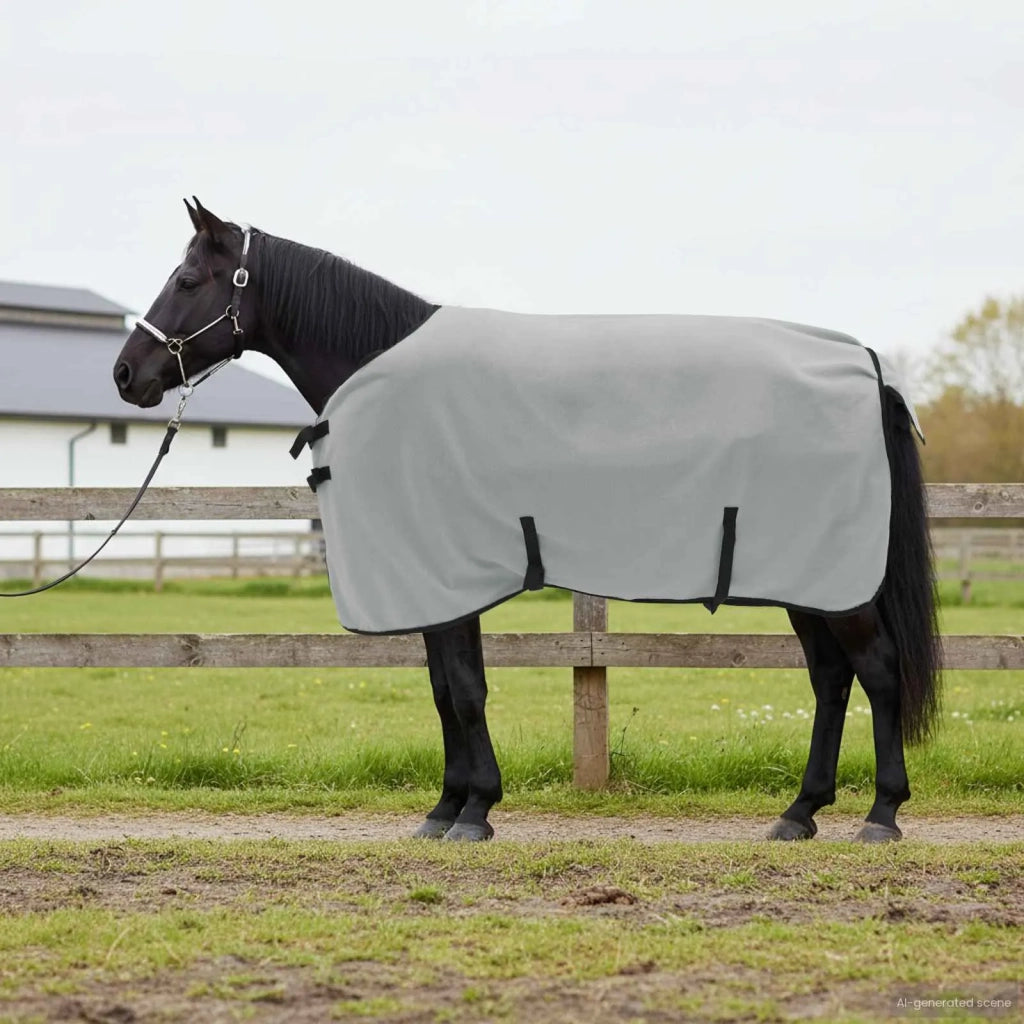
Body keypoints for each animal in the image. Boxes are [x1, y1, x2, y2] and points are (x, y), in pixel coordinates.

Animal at [112, 198, 941, 843]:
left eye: (187, 280)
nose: (126, 374)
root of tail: (866, 369)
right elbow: (446, 688)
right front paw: (447, 807)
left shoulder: (446, 579)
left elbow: (464, 690)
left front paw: (474, 811)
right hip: (808, 578)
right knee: (831, 678)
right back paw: (800, 813)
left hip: (834, 580)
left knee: (877, 669)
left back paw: (881, 814)